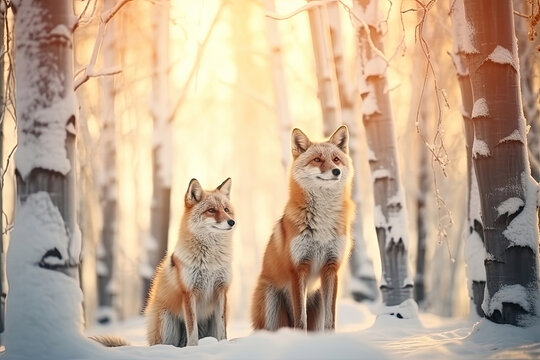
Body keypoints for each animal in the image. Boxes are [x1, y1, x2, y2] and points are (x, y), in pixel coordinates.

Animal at [144, 177, 235, 346]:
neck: (210, 261)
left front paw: (223, 345)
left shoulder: (221, 290)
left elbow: (222, 329)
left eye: (226, 210)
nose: (232, 222)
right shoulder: (189, 292)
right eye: (211, 210)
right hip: (167, 323)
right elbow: (192, 330)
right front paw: (193, 348)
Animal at [250, 126, 352, 332]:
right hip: (271, 303)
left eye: (336, 159)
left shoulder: (331, 268)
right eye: (317, 160)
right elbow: (300, 319)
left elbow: (331, 320)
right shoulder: (298, 268)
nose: (336, 171)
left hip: (318, 299)